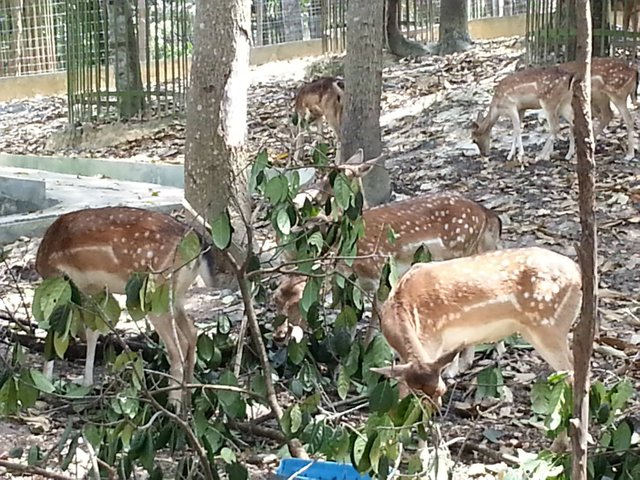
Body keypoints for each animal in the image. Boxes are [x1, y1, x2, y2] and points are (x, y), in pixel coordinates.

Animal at [36, 204, 234, 410]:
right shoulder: (93, 290)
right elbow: (93, 331)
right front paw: (86, 385)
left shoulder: (62, 281)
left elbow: (54, 329)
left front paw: (46, 388)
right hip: (176, 295)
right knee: (192, 332)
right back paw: (188, 401)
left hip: (156, 291)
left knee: (179, 342)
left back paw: (172, 406)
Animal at [370, 246, 580, 404]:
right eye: (418, 393)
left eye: (441, 391)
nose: (435, 410)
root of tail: (577, 273)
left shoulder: (433, 342)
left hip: (549, 326)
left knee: (572, 373)